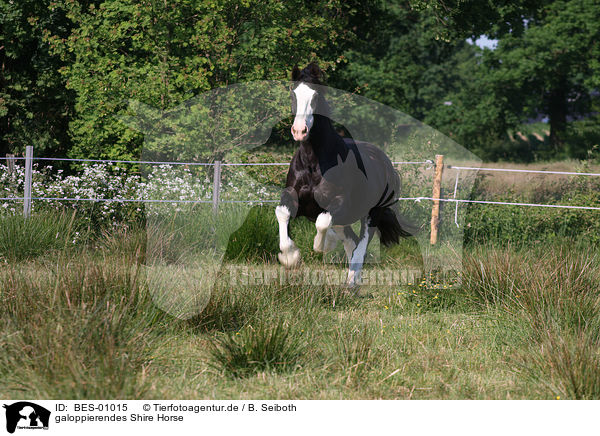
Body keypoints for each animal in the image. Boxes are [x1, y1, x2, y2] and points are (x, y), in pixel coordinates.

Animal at [276, 61, 418, 286]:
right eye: (293, 95)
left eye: (316, 96)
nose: (299, 131)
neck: (313, 162)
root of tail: (385, 163)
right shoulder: (294, 197)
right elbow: (282, 213)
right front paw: (290, 257)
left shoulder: (339, 203)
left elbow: (323, 223)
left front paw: (324, 245)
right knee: (351, 242)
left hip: (372, 213)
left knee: (360, 247)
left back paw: (351, 282)